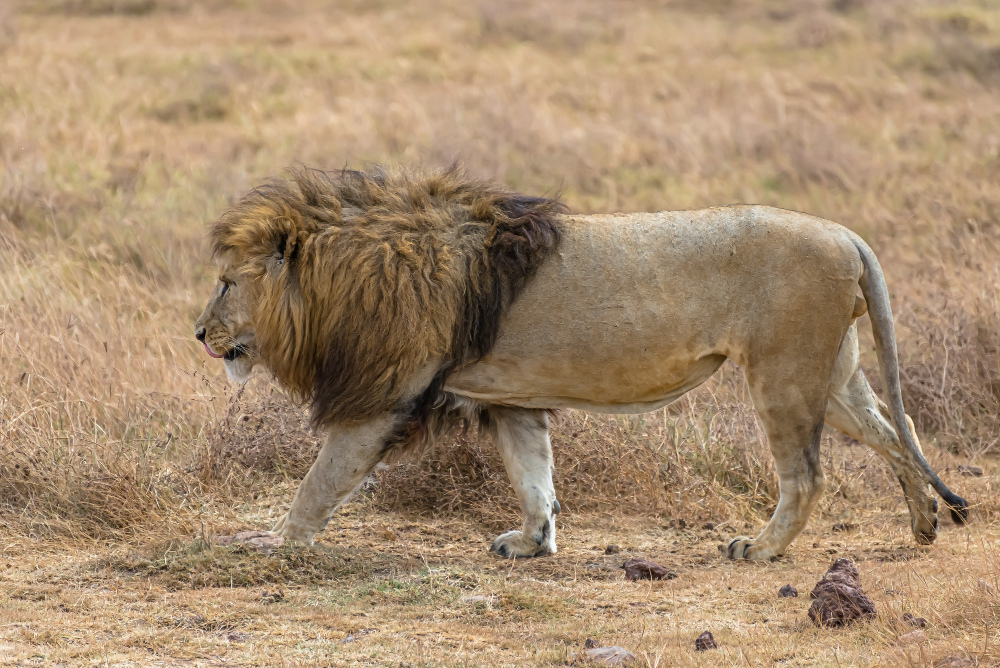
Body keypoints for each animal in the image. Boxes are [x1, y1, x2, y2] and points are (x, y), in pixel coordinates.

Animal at [194, 164, 968, 561]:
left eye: (227, 284)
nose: (199, 333)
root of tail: (844, 233)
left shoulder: (382, 400)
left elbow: (319, 483)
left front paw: (272, 544)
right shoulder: (509, 400)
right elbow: (533, 474)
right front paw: (532, 541)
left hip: (783, 371)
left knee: (806, 476)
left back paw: (760, 548)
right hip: (831, 373)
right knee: (898, 436)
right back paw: (925, 523)